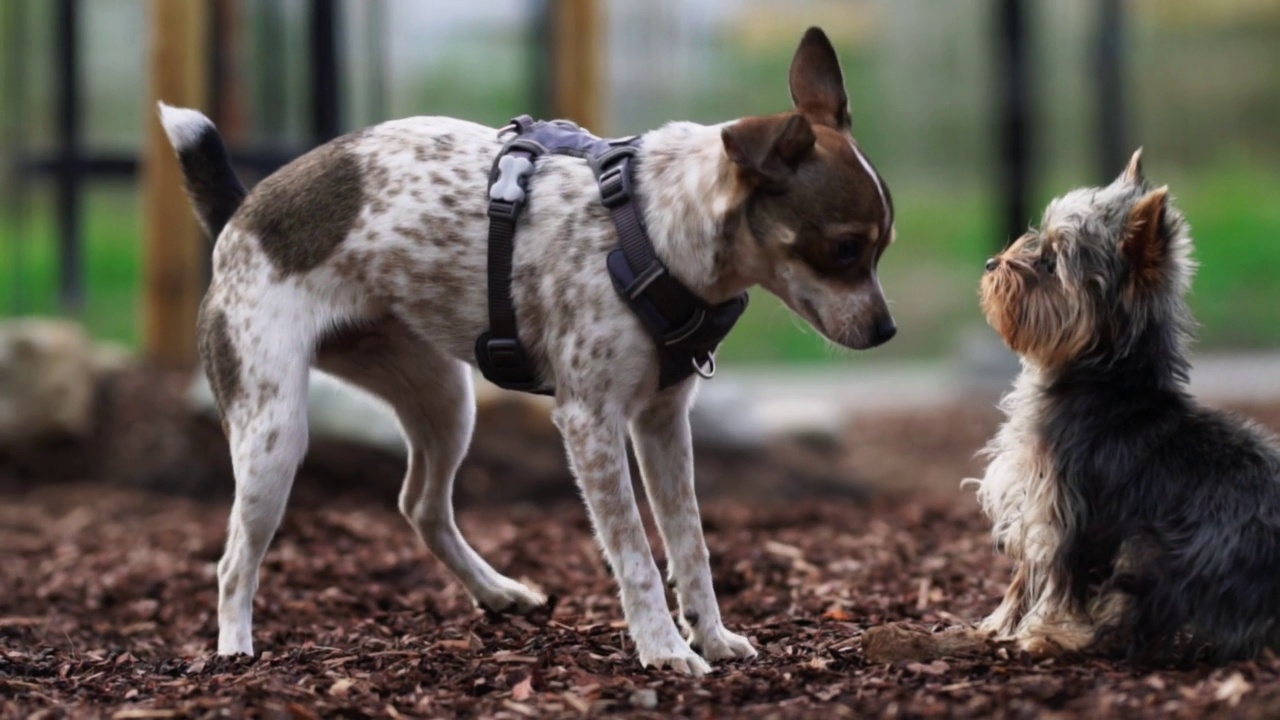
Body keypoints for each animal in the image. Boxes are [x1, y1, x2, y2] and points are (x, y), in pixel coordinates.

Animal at [160, 23, 896, 671]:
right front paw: (664, 650)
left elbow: (690, 545)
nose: (886, 332)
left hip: (444, 402)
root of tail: (240, 214)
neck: (654, 226)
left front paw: (711, 637)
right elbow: (635, 553)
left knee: (420, 507)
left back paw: (496, 591)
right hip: (275, 434)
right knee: (233, 560)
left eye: (880, 247)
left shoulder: (662, 423)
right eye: (844, 249)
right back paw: (234, 650)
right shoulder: (590, 423)